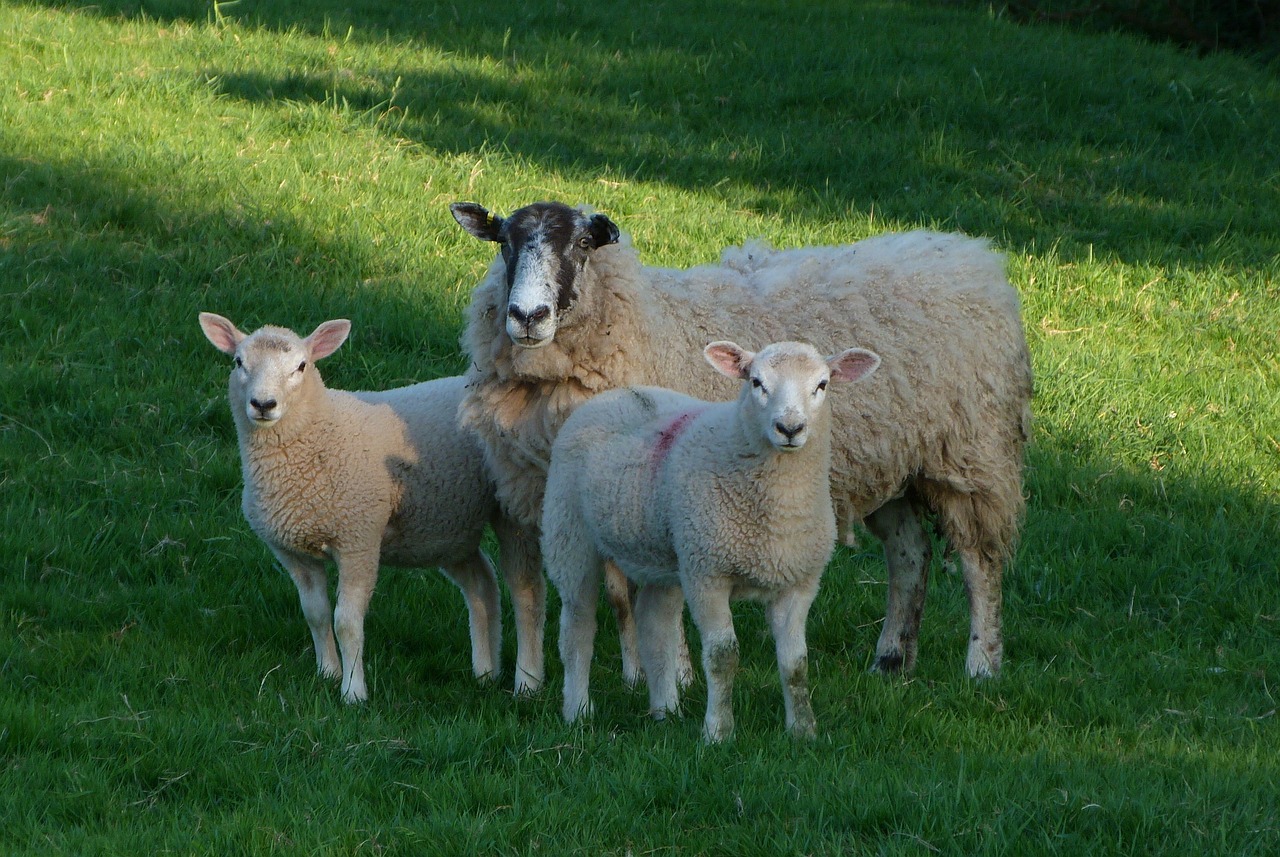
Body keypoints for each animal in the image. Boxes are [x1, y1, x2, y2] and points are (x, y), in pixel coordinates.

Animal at [195, 315, 545, 706]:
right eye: (238, 362)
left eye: (301, 366)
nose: (263, 404)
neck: (319, 432)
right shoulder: (293, 551)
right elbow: (315, 614)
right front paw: (328, 674)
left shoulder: (358, 539)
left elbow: (346, 622)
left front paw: (353, 692)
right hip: (445, 523)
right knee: (482, 584)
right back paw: (485, 672)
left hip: (512, 508)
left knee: (526, 593)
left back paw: (527, 682)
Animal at [450, 199, 1029, 685]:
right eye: (503, 242)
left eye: (583, 244)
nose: (528, 317)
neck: (647, 324)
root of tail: (973, 254)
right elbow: (607, 591)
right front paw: (625, 675)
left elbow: (653, 593)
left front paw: (675, 675)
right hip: (889, 459)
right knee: (910, 553)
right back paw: (890, 660)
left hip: (971, 453)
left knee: (979, 562)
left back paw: (982, 664)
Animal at [540, 340, 880, 741]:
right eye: (756, 382)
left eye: (822, 384)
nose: (790, 428)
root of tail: (617, 393)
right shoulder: (709, 576)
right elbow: (722, 656)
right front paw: (718, 732)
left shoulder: (798, 582)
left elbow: (796, 663)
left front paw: (802, 731)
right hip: (569, 531)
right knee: (577, 628)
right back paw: (578, 710)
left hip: (665, 554)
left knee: (654, 625)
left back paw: (665, 710)